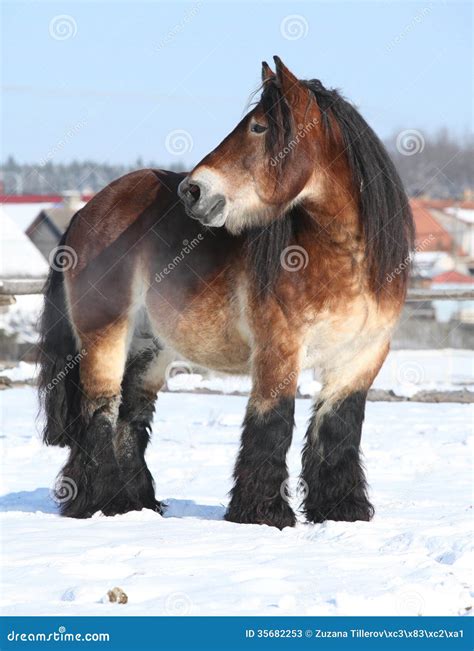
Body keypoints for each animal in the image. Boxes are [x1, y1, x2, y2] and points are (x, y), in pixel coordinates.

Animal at [38, 56, 414, 528]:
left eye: (257, 127)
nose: (193, 191)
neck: (343, 259)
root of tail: (88, 211)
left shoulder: (361, 358)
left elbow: (339, 427)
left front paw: (342, 511)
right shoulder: (278, 349)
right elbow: (272, 422)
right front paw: (263, 514)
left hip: (150, 346)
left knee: (130, 415)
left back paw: (134, 503)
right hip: (104, 335)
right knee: (100, 411)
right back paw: (98, 503)